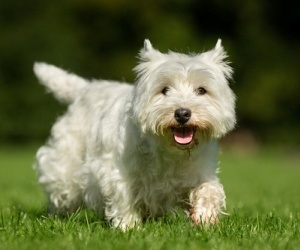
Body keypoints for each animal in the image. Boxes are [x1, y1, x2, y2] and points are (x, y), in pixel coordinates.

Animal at [34, 39, 236, 230]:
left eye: (201, 90)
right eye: (165, 89)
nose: (182, 114)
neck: (170, 152)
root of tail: (85, 89)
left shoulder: (200, 171)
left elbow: (209, 190)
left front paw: (204, 218)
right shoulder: (119, 173)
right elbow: (125, 200)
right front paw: (129, 228)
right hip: (66, 166)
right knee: (61, 193)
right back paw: (56, 218)